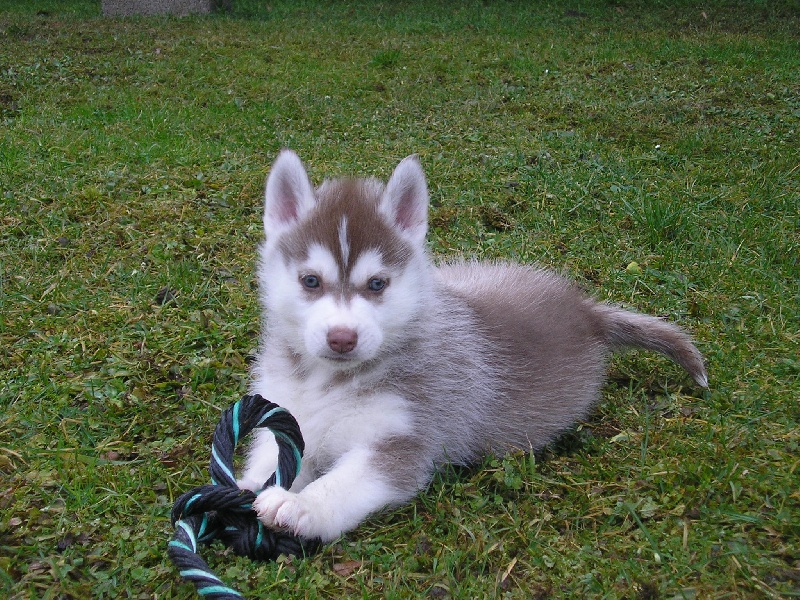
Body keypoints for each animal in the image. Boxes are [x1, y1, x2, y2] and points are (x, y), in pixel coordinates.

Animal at [238, 150, 708, 543]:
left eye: (376, 284)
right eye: (310, 280)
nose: (342, 338)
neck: (328, 381)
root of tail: (585, 311)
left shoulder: (404, 441)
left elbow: (345, 482)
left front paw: (303, 506)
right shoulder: (291, 416)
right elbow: (269, 460)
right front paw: (243, 486)